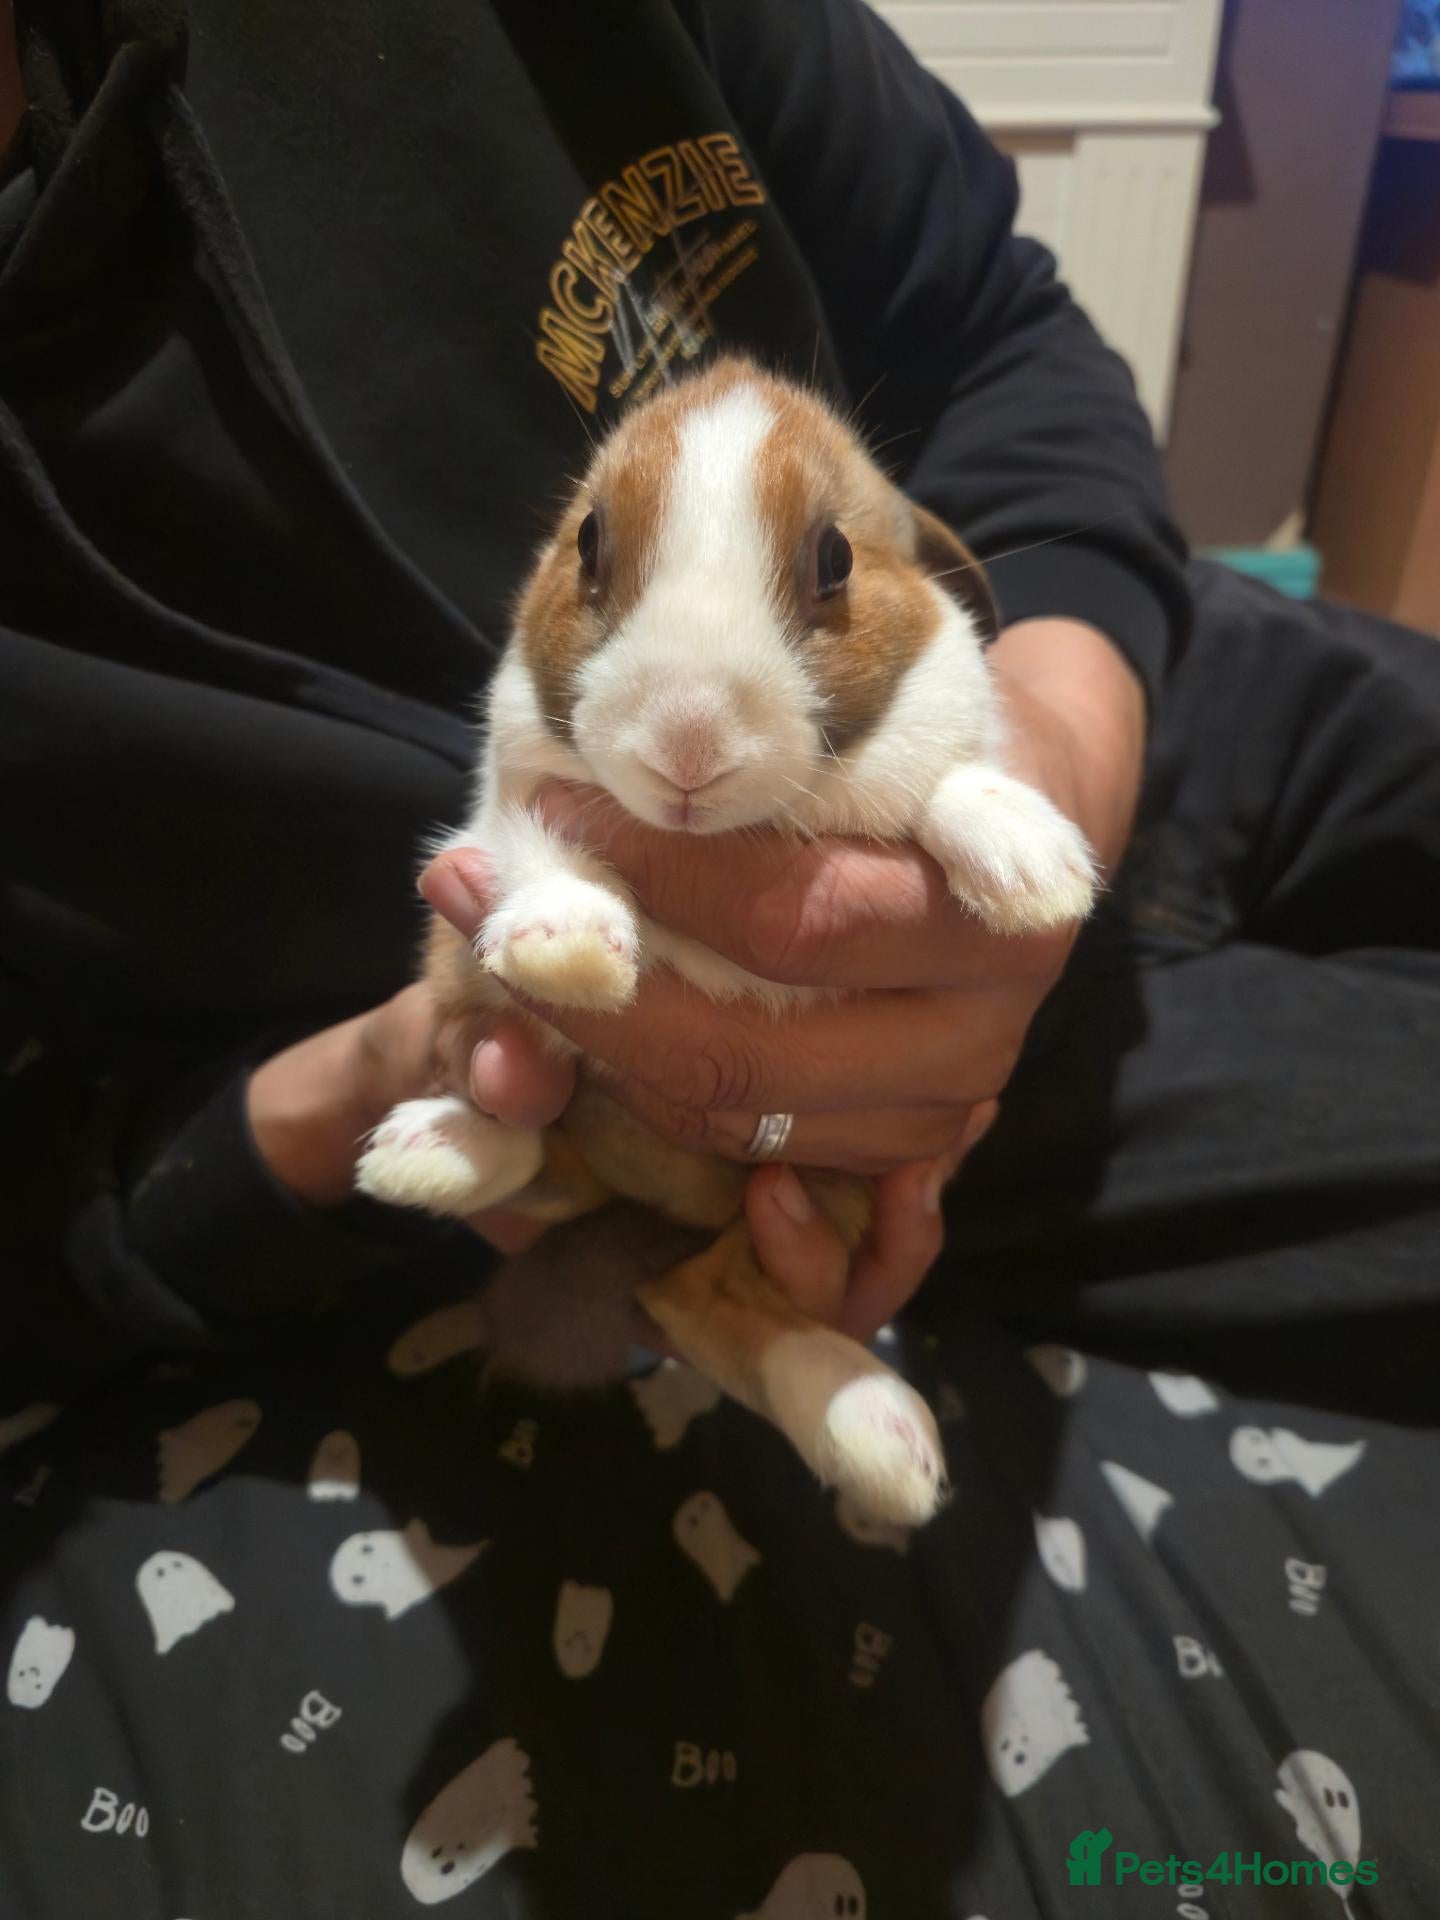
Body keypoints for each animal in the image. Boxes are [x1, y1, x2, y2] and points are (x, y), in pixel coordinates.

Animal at [356, 356, 1097, 1526]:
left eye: (836, 557)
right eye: (589, 542)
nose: (687, 742)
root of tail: (669, 1203)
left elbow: (948, 786)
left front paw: (1035, 873)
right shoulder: (508, 818)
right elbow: (544, 850)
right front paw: (572, 950)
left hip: (814, 1194)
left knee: (705, 1297)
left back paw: (879, 1440)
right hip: (533, 1064)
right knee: (546, 1161)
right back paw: (429, 1154)